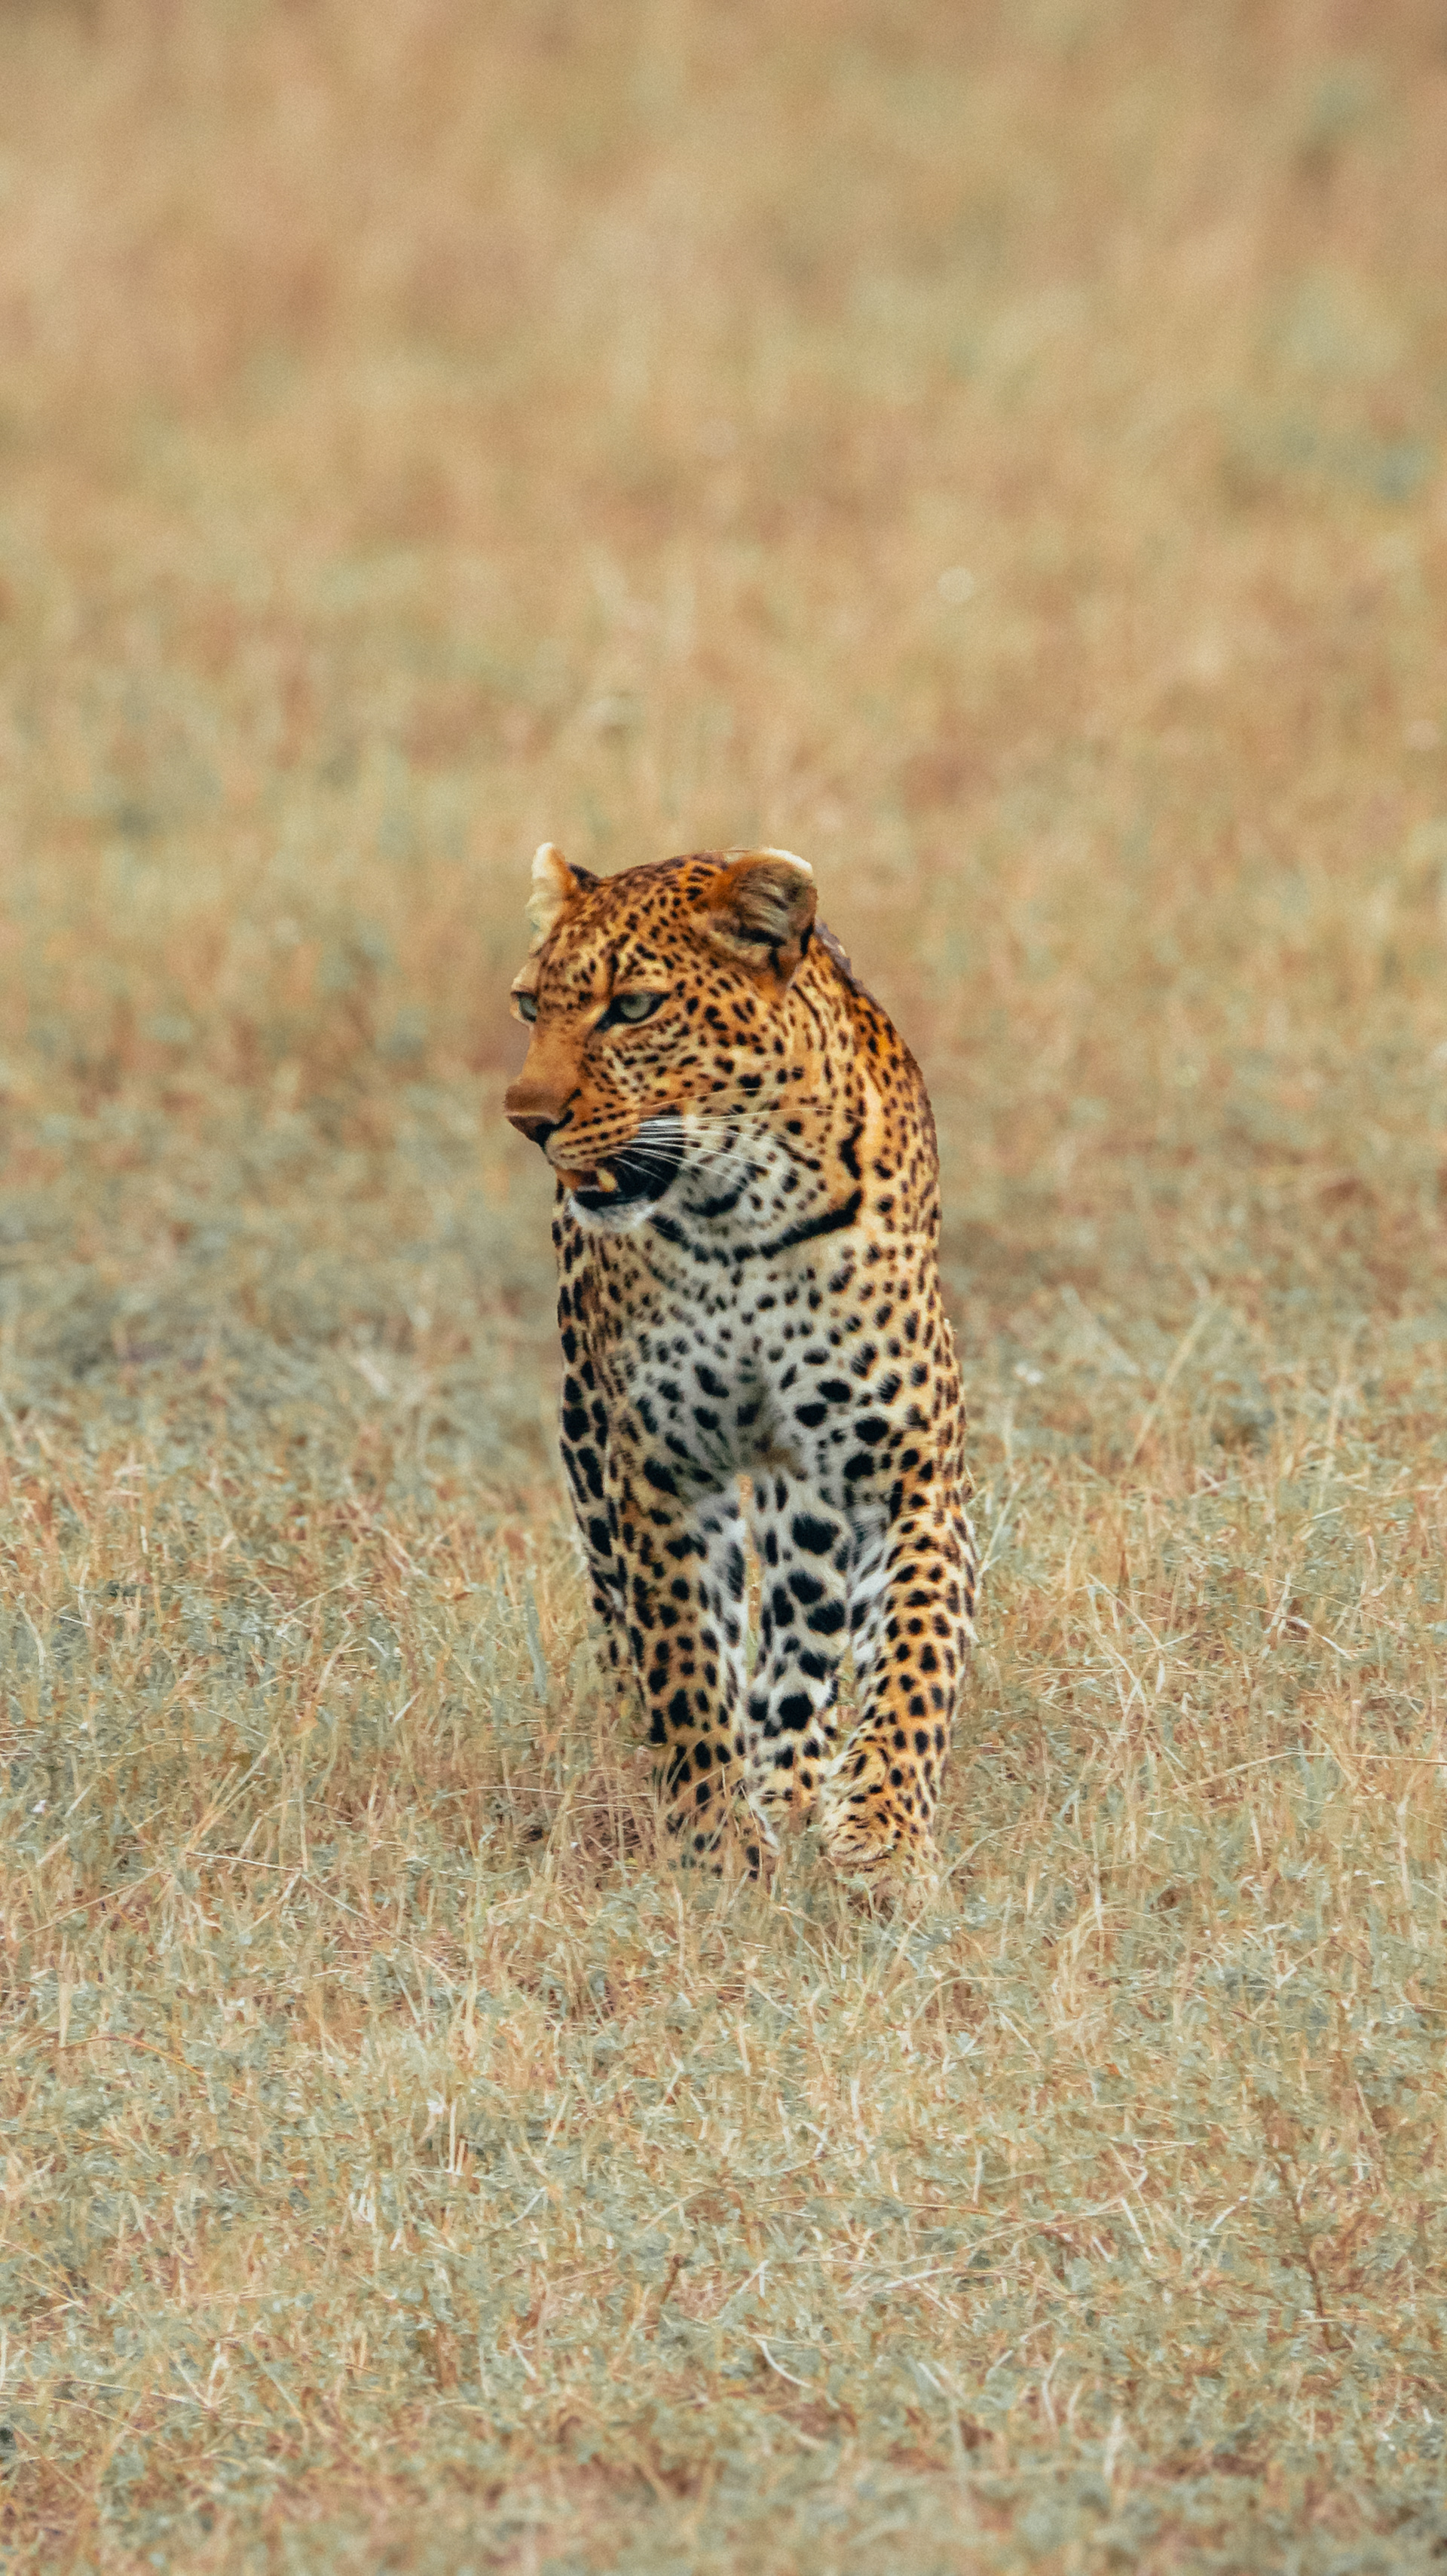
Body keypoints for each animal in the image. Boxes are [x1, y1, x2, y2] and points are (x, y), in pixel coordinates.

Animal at [503, 840, 976, 1886]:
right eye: (527, 1006)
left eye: (633, 1007)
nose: (527, 1119)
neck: (740, 1219)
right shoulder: (661, 1473)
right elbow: (684, 1663)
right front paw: (717, 1843)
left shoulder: (911, 1472)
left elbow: (916, 1657)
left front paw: (881, 1834)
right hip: (586, 1437)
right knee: (626, 1626)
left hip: (810, 1495)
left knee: (803, 1635)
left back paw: (794, 1781)